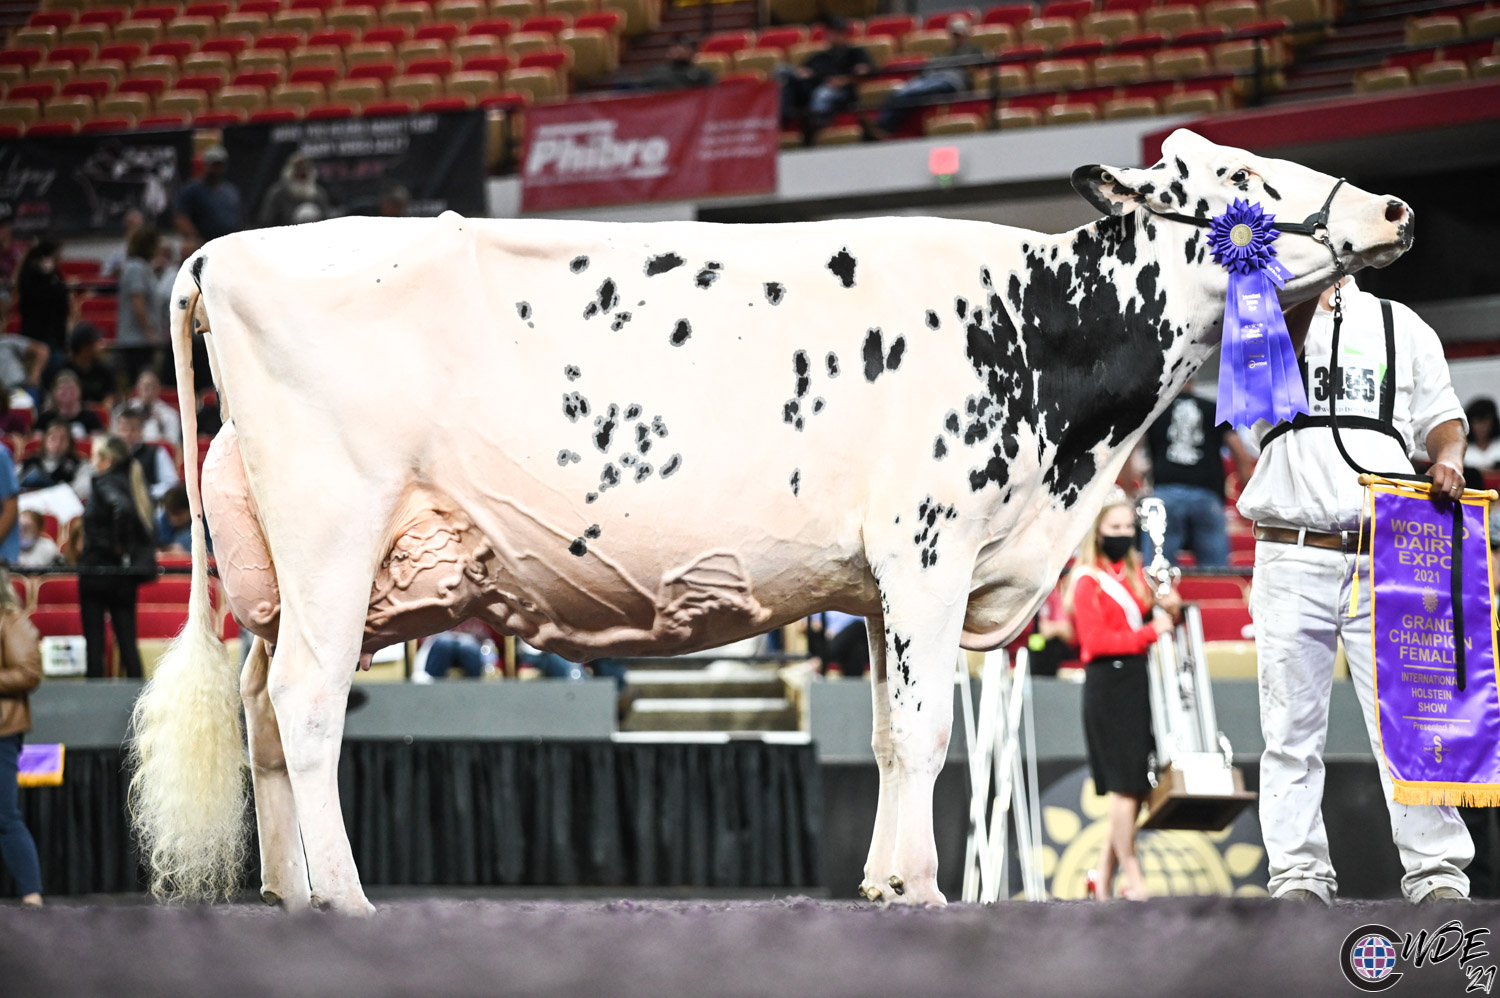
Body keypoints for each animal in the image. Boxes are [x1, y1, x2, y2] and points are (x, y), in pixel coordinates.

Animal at [132, 130, 1416, 912]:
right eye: (1247, 183)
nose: (1397, 204)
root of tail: (224, 249)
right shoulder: (931, 544)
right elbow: (929, 733)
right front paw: (924, 886)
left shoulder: (889, 578)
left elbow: (894, 734)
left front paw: (886, 880)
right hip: (335, 528)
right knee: (304, 703)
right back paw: (346, 895)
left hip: (294, 564)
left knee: (259, 707)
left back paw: (292, 889)